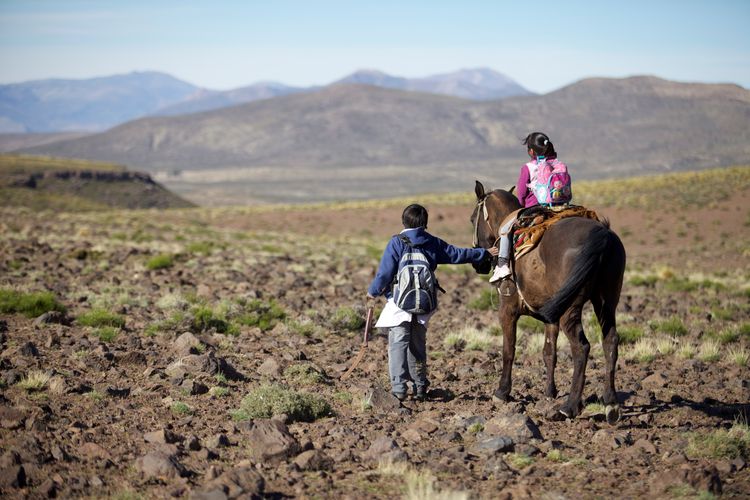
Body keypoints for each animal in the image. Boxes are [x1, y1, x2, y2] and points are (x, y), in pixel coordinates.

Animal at [476, 182, 628, 420]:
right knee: (610, 341)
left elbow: (509, 349)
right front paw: (549, 392)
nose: (480, 264)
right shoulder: (551, 316)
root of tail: (602, 236)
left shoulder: (507, 310)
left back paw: (570, 406)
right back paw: (611, 403)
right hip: (606, 301)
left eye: (472, 218)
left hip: (571, 309)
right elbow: (549, 353)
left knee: (581, 347)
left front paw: (502, 392)